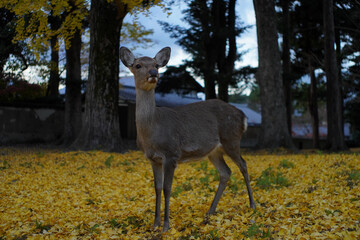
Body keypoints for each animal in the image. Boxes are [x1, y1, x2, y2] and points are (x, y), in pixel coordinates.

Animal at [119, 46, 255, 232]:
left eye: (156, 65)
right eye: (138, 65)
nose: (153, 73)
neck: (152, 131)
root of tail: (243, 117)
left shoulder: (172, 153)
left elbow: (167, 188)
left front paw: (166, 226)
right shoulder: (153, 158)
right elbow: (157, 188)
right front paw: (155, 224)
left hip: (231, 139)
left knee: (243, 164)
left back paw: (252, 206)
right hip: (214, 151)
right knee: (226, 172)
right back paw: (209, 212)